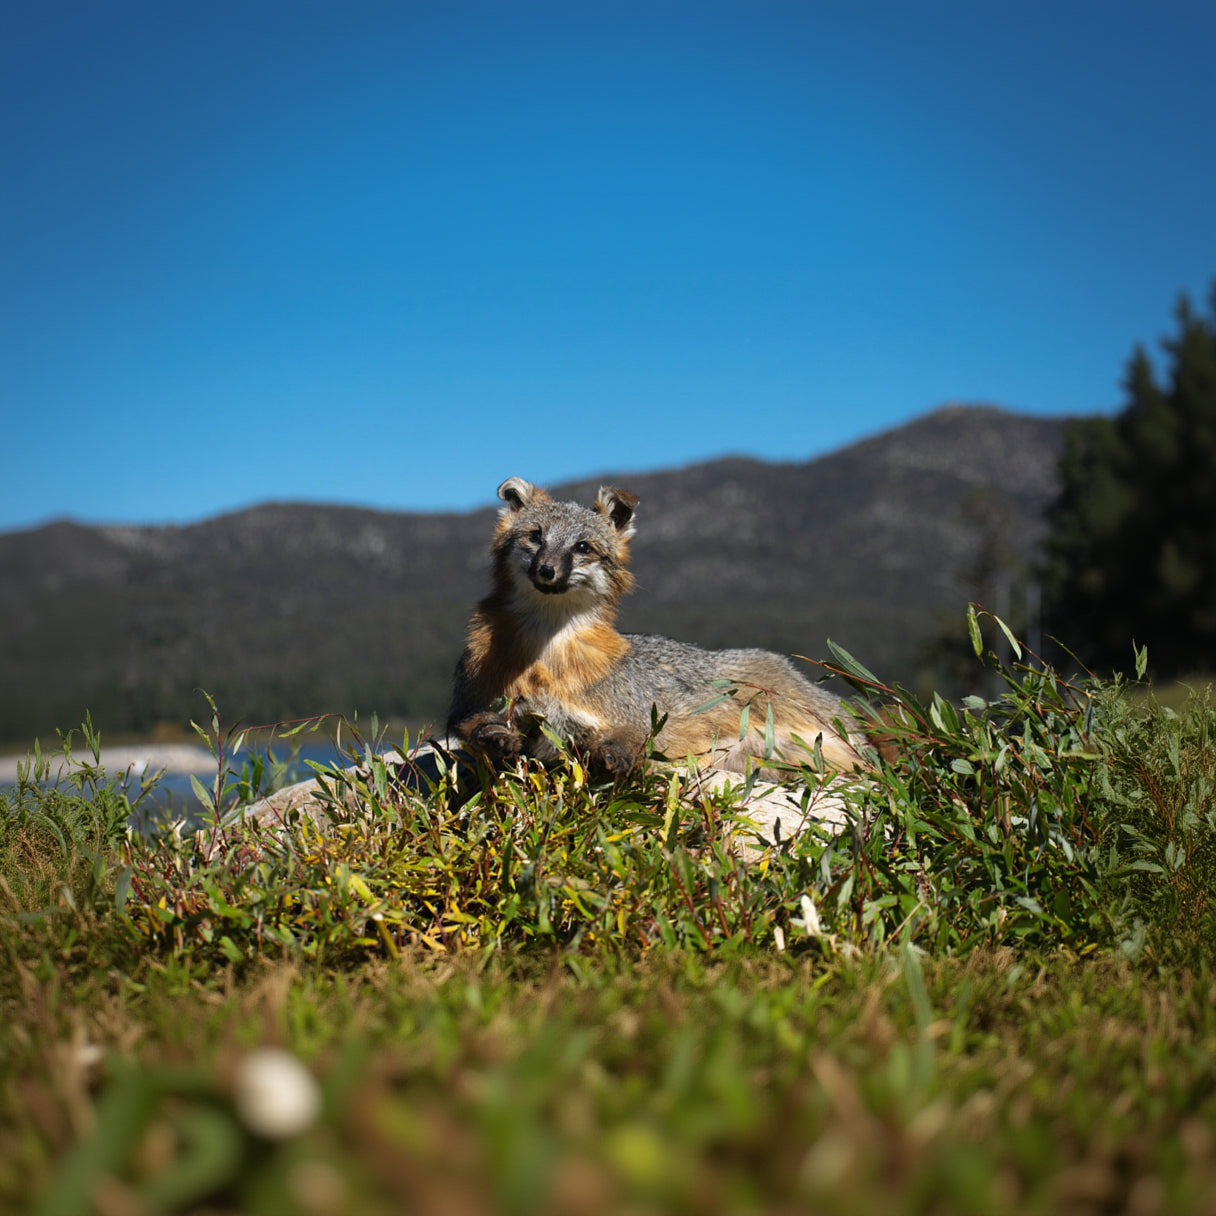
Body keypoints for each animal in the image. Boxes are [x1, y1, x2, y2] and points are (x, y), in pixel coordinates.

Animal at [447, 476, 872, 781]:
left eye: (583, 547)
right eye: (535, 536)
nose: (547, 570)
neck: (548, 658)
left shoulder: (633, 717)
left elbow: (630, 738)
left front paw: (613, 756)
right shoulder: (473, 704)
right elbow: (473, 725)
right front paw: (496, 737)